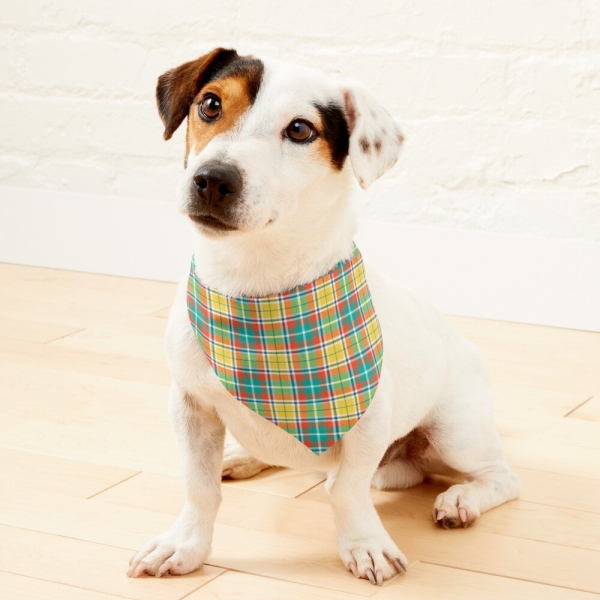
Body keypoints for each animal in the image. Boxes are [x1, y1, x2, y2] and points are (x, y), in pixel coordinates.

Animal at [127, 48, 520, 584]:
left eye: (299, 130)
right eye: (210, 104)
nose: (212, 179)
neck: (256, 285)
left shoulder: (368, 420)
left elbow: (347, 490)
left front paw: (365, 544)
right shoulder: (190, 405)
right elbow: (199, 486)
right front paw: (185, 545)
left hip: (456, 432)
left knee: (500, 477)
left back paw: (461, 499)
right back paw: (243, 456)